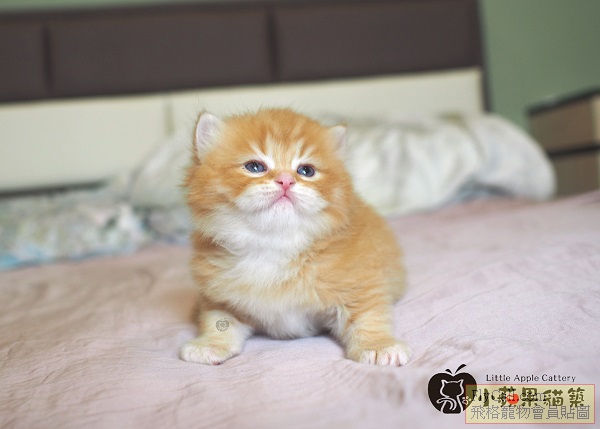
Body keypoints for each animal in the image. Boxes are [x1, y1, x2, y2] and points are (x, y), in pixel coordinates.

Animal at [180, 108, 410, 366]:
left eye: (306, 171)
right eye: (255, 167)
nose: (286, 180)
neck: (273, 245)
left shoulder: (361, 281)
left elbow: (368, 315)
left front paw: (378, 345)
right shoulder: (218, 296)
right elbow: (219, 321)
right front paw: (210, 344)